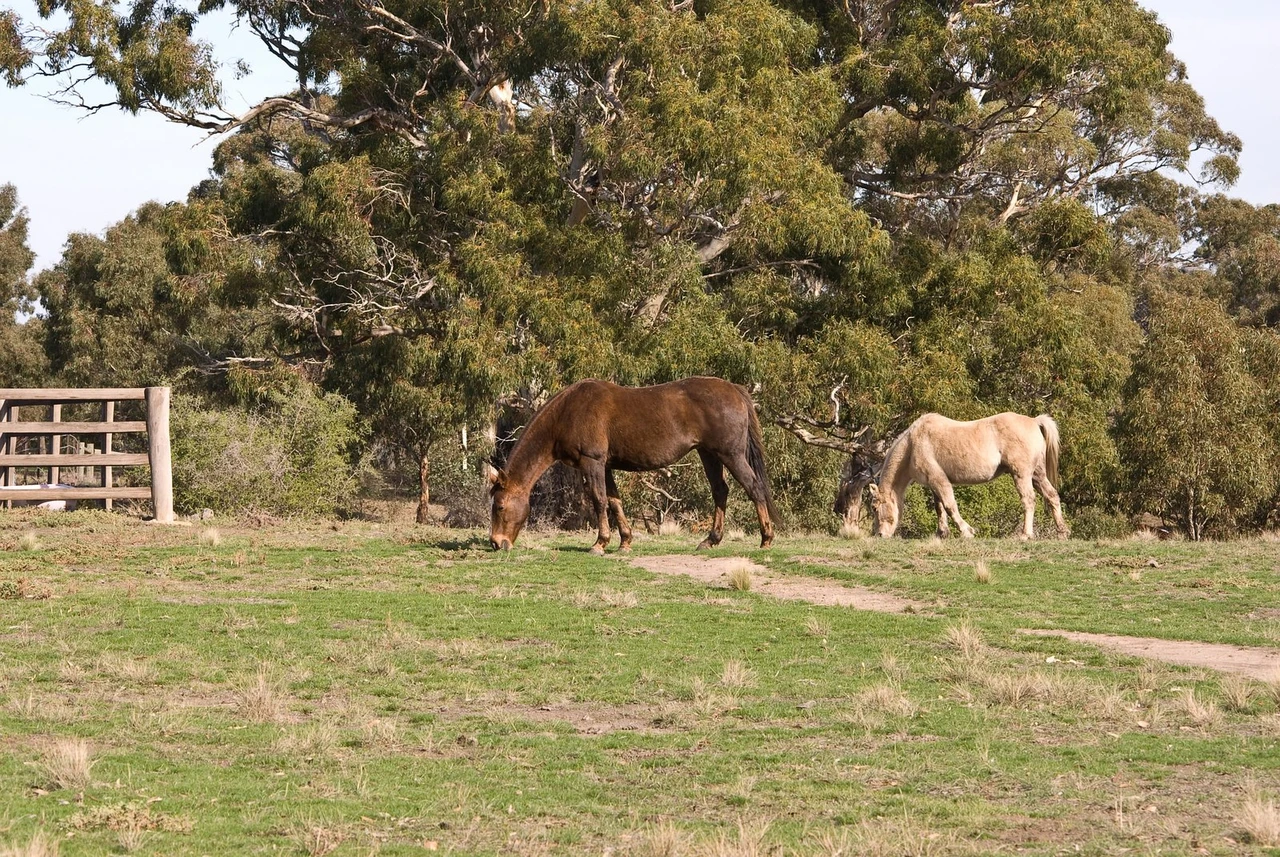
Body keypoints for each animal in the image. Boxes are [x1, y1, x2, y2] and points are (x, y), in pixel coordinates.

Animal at [486, 377, 779, 554]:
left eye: (499, 506)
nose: (496, 543)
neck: (568, 412)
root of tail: (735, 390)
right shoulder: (605, 466)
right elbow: (614, 501)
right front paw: (625, 541)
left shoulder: (592, 462)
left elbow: (599, 500)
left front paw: (600, 543)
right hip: (709, 455)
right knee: (720, 491)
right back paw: (711, 540)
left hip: (730, 455)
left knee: (754, 488)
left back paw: (766, 539)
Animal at [867, 412, 1068, 539]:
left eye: (875, 508)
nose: (880, 534)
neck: (913, 444)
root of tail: (1034, 421)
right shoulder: (933, 484)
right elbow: (940, 508)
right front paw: (942, 533)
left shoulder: (939, 481)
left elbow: (950, 506)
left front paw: (967, 531)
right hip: (1037, 475)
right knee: (1052, 496)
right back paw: (1062, 532)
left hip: (1022, 475)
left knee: (1028, 500)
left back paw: (1026, 534)